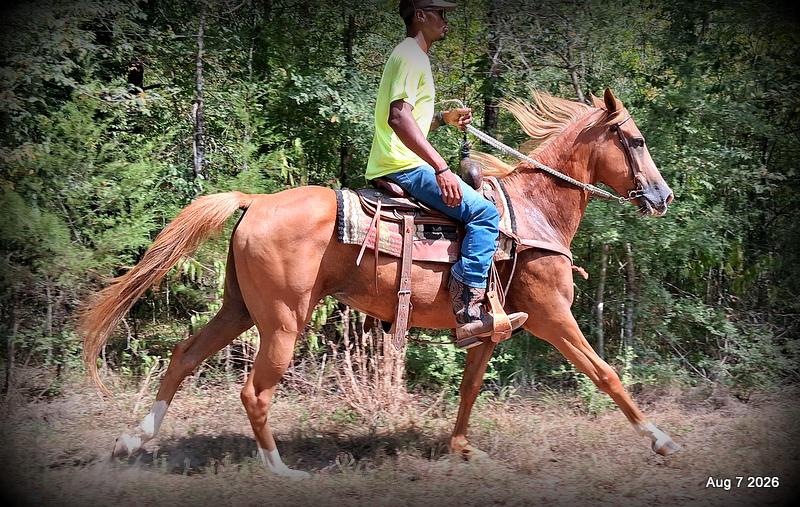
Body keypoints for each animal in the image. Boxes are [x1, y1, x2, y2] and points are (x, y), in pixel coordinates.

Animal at [79, 88, 678, 479]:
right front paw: (662, 440)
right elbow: (606, 374)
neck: (535, 210)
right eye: (636, 140)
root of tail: (256, 201)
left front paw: (463, 450)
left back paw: (132, 439)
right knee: (255, 390)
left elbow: (469, 388)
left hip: (240, 309)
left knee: (183, 356)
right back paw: (280, 470)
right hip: (283, 321)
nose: (662, 196)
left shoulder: (490, 328)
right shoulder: (554, 315)